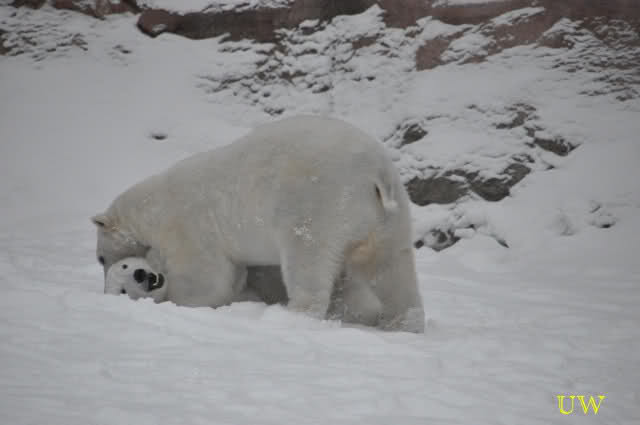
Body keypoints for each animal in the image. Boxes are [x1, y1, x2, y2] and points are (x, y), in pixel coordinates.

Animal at [92, 115, 424, 332]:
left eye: (101, 258)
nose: (139, 276)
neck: (151, 207)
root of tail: (375, 171)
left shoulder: (188, 225)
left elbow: (207, 278)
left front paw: (176, 299)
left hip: (317, 202)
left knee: (308, 259)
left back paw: (294, 314)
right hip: (387, 216)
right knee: (391, 266)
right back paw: (404, 323)